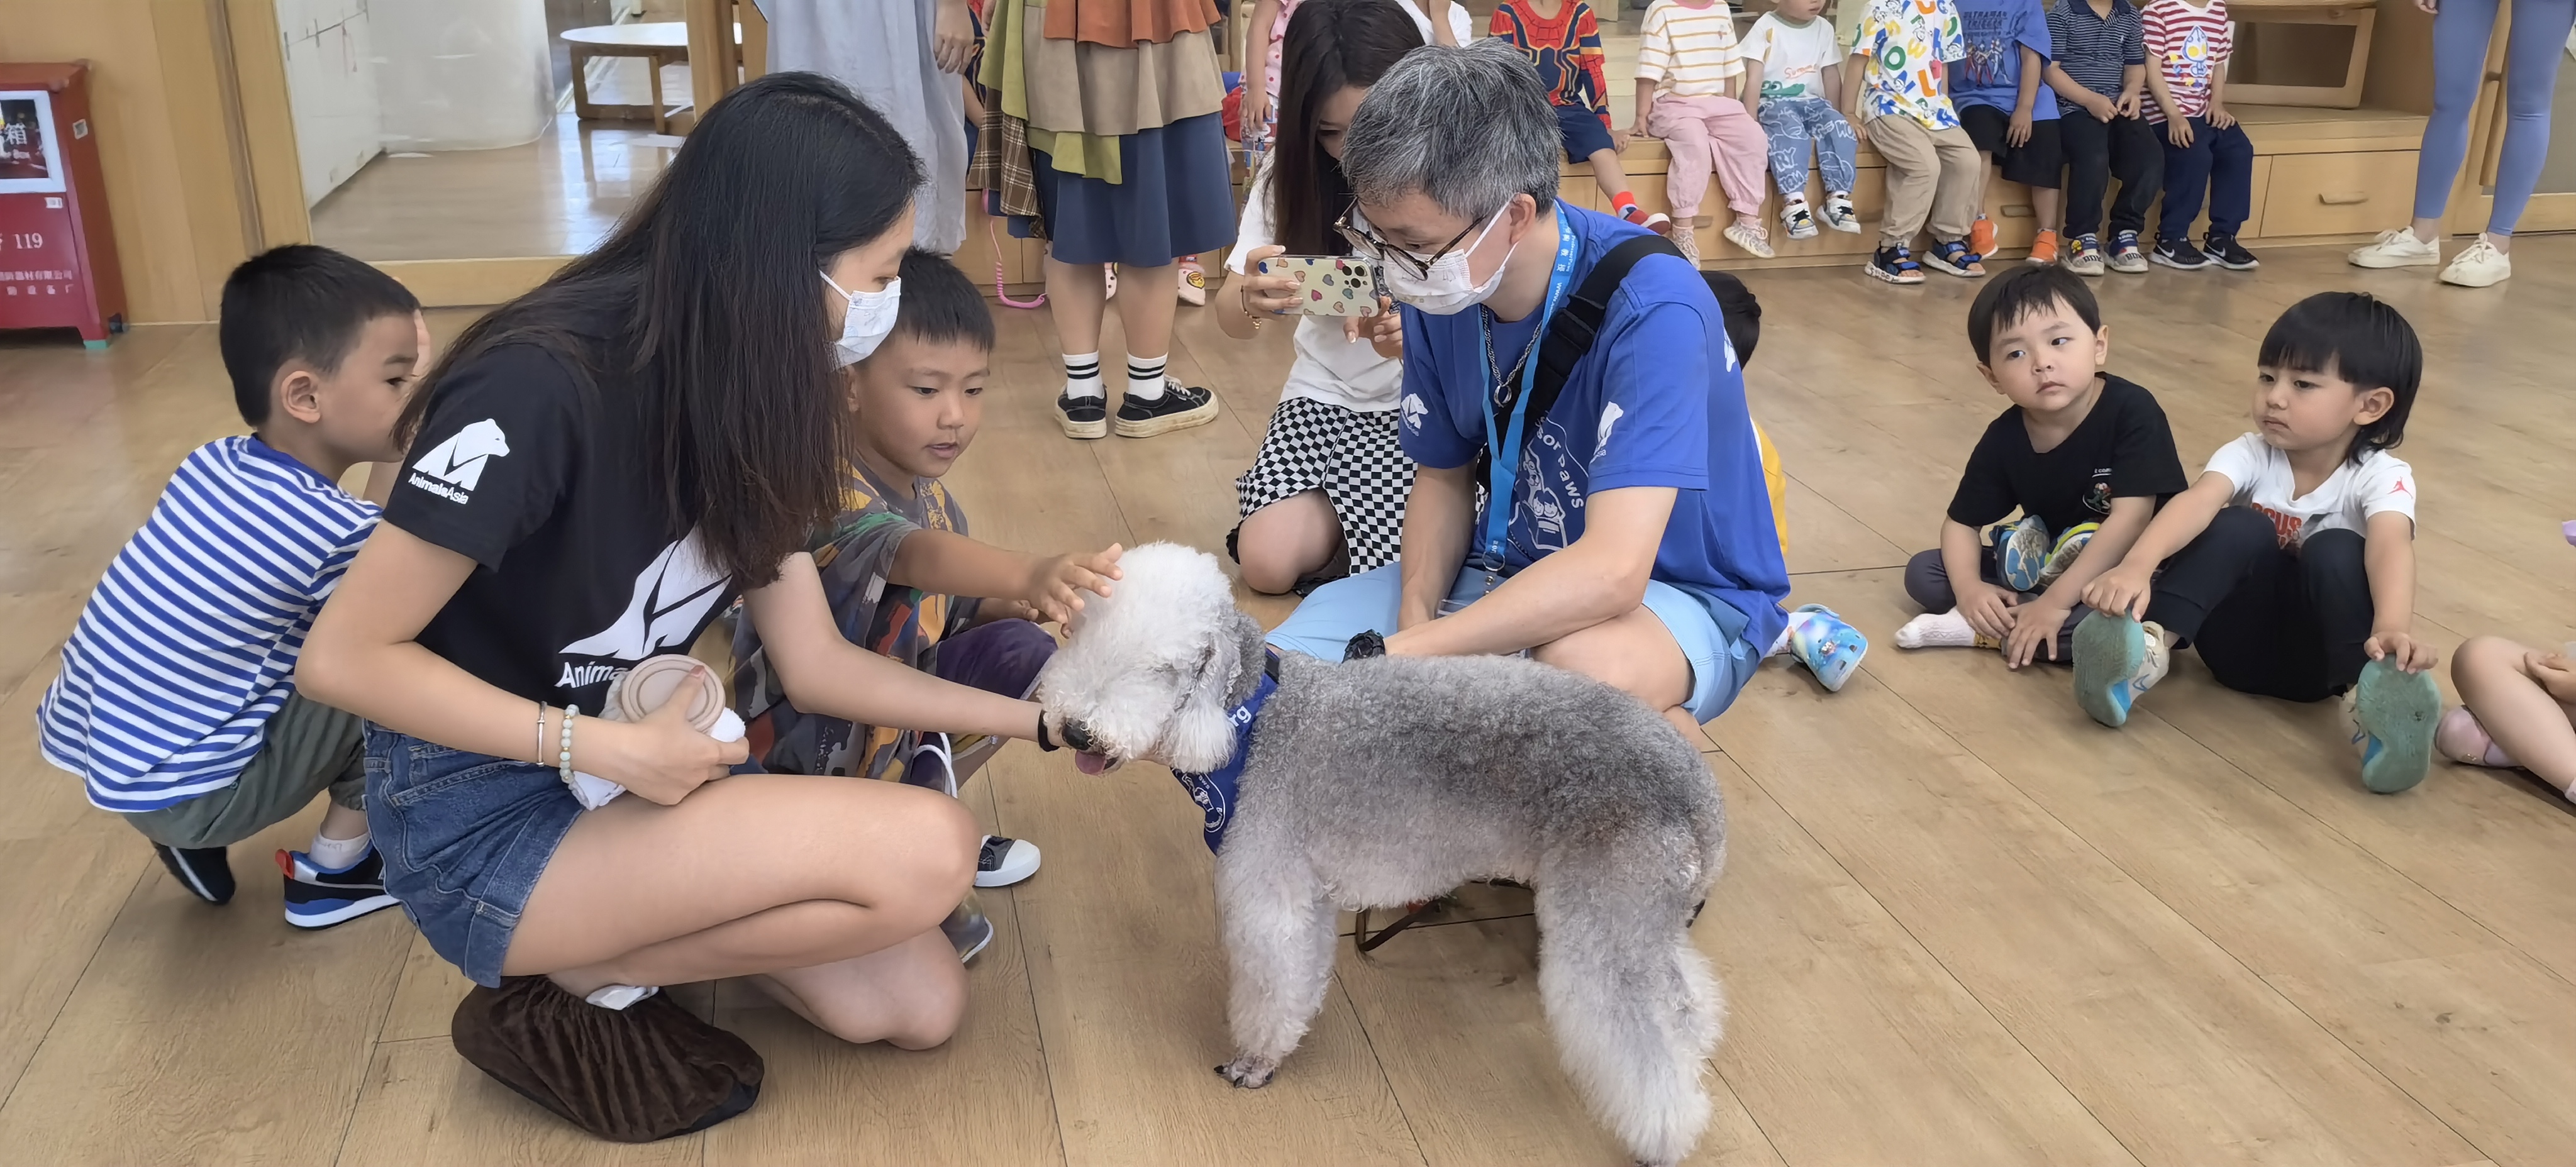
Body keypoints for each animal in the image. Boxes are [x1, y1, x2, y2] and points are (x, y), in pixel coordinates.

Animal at [1036, 543, 1729, 1167]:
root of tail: (1701, 795)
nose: (1073, 731)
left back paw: (1664, 1137)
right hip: (1642, 915)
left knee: (1647, 1045)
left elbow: (1270, 983)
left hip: (1607, 912)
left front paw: (1255, 1062)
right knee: (1684, 1002)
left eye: (1161, 668)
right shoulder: (1307, 891)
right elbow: (1299, 975)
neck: (1251, 722)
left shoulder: (1270, 889)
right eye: (1075, 633)